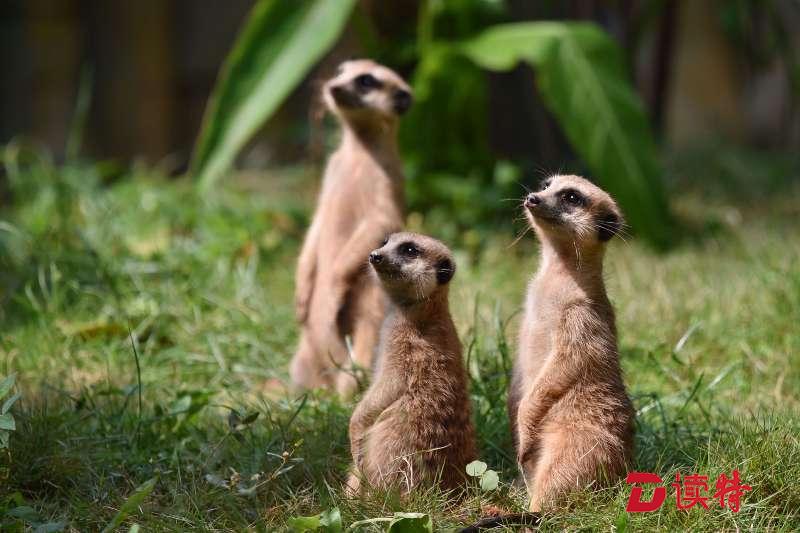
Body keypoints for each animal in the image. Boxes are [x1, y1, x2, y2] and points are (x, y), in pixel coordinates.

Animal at [290, 60, 413, 398]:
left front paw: (333, 286)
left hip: (367, 321)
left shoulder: (386, 182)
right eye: (340, 71)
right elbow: (316, 224)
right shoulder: (330, 175)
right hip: (303, 354)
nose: (332, 86)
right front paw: (301, 293)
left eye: (366, 80)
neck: (355, 153)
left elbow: (380, 221)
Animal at [347, 232, 476, 493]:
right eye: (385, 242)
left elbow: (388, 387)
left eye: (409, 250)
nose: (375, 255)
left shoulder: (406, 349)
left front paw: (355, 430)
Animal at [510, 174, 634, 512]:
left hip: (580, 439)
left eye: (571, 197)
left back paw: (530, 513)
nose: (533, 198)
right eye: (546, 185)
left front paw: (523, 416)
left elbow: (568, 360)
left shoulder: (581, 317)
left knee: (560, 476)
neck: (555, 277)